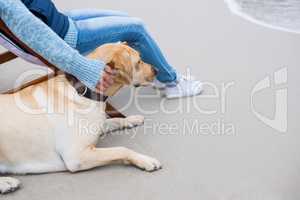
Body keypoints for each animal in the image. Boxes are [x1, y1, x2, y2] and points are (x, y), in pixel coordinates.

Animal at [0, 43, 162, 194]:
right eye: (139, 62)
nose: (157, 70)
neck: (83, 93)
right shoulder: (76, 156)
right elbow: (121, 149)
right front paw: (145, 160)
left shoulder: (97, 126)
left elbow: (115, 120)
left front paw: (132, 119)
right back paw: (6, 183)